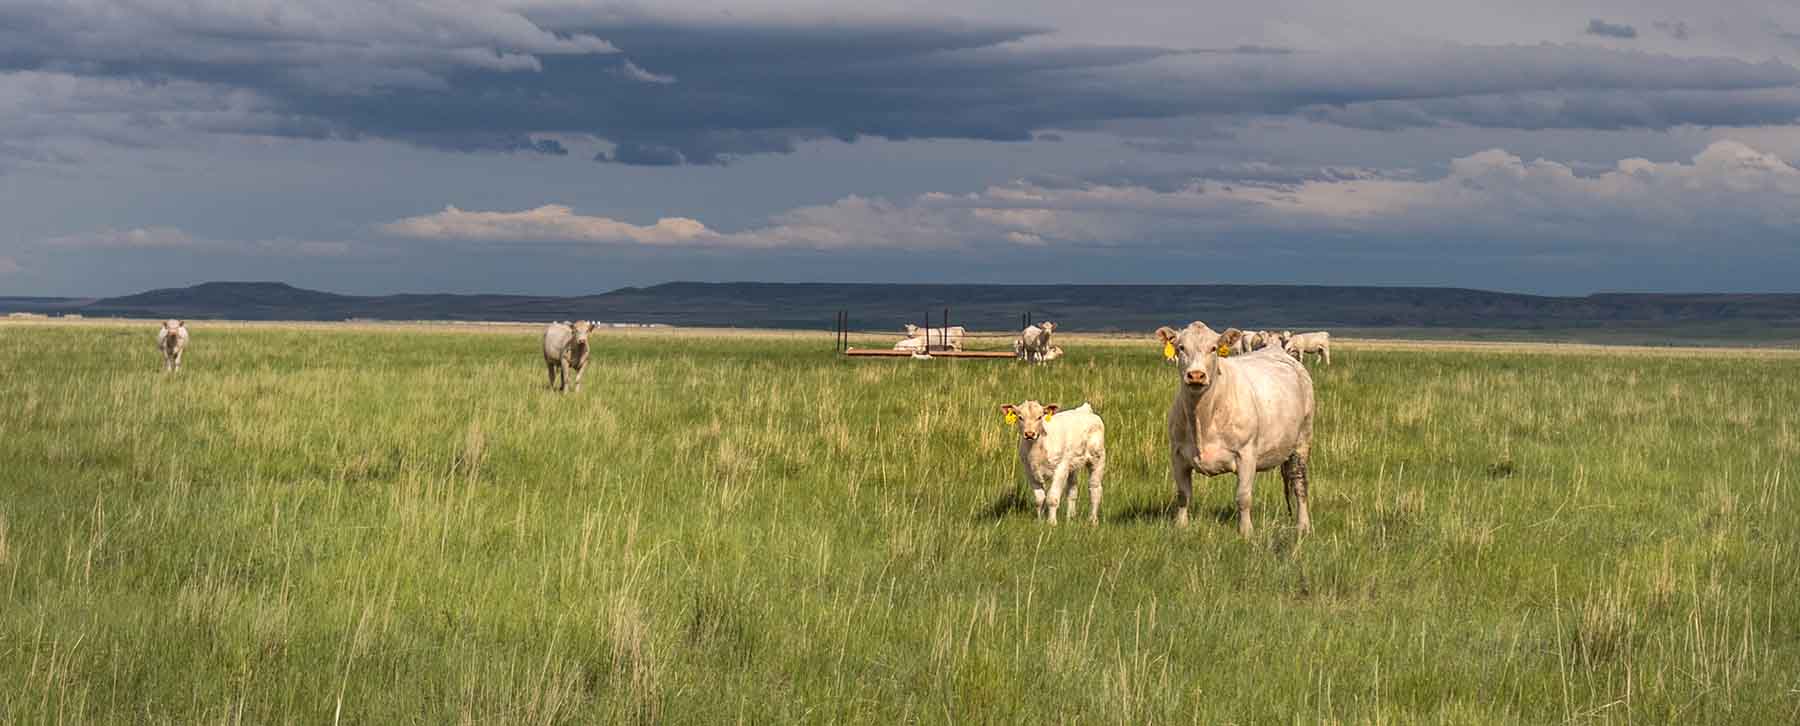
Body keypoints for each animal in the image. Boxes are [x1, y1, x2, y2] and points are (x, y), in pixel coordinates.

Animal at [1155, 322, 1315, 536]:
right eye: (1181, 347)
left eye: (1213, 348)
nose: (1196, 375)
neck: (1203, 417)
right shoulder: (1178, 454)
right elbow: (1183, 494)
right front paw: (1181, 526)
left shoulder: (1246, 454)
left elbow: (1243, 496)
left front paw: (1246, 531)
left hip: (1302, 439)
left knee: (1299, 482)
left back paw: (1303, 525)